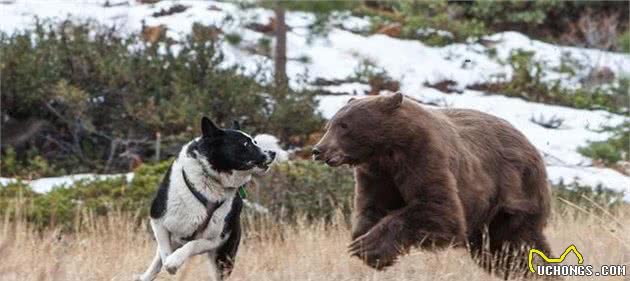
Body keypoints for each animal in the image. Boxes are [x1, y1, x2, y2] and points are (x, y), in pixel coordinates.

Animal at [136, 116, 276, 280]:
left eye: (255, 142)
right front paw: (169, 264)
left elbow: (193, 245)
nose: (272, 153)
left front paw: (174, 261)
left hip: (224, 258)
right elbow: (164, 252)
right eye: (246, 144)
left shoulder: (217, 239)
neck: (210, 179)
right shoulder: (158, 219)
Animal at [314, 92, 552, 278]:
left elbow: (438, 209)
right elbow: (373, 207)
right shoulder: (376, 174)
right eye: (329, 125)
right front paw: (364, 243)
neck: (387, 150)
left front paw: (369, 246)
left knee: (516, 245)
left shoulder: (423, 156)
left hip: (513, 195)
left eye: (344, 126)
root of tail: (531, 145)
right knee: (499, 251)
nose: (318, 150)